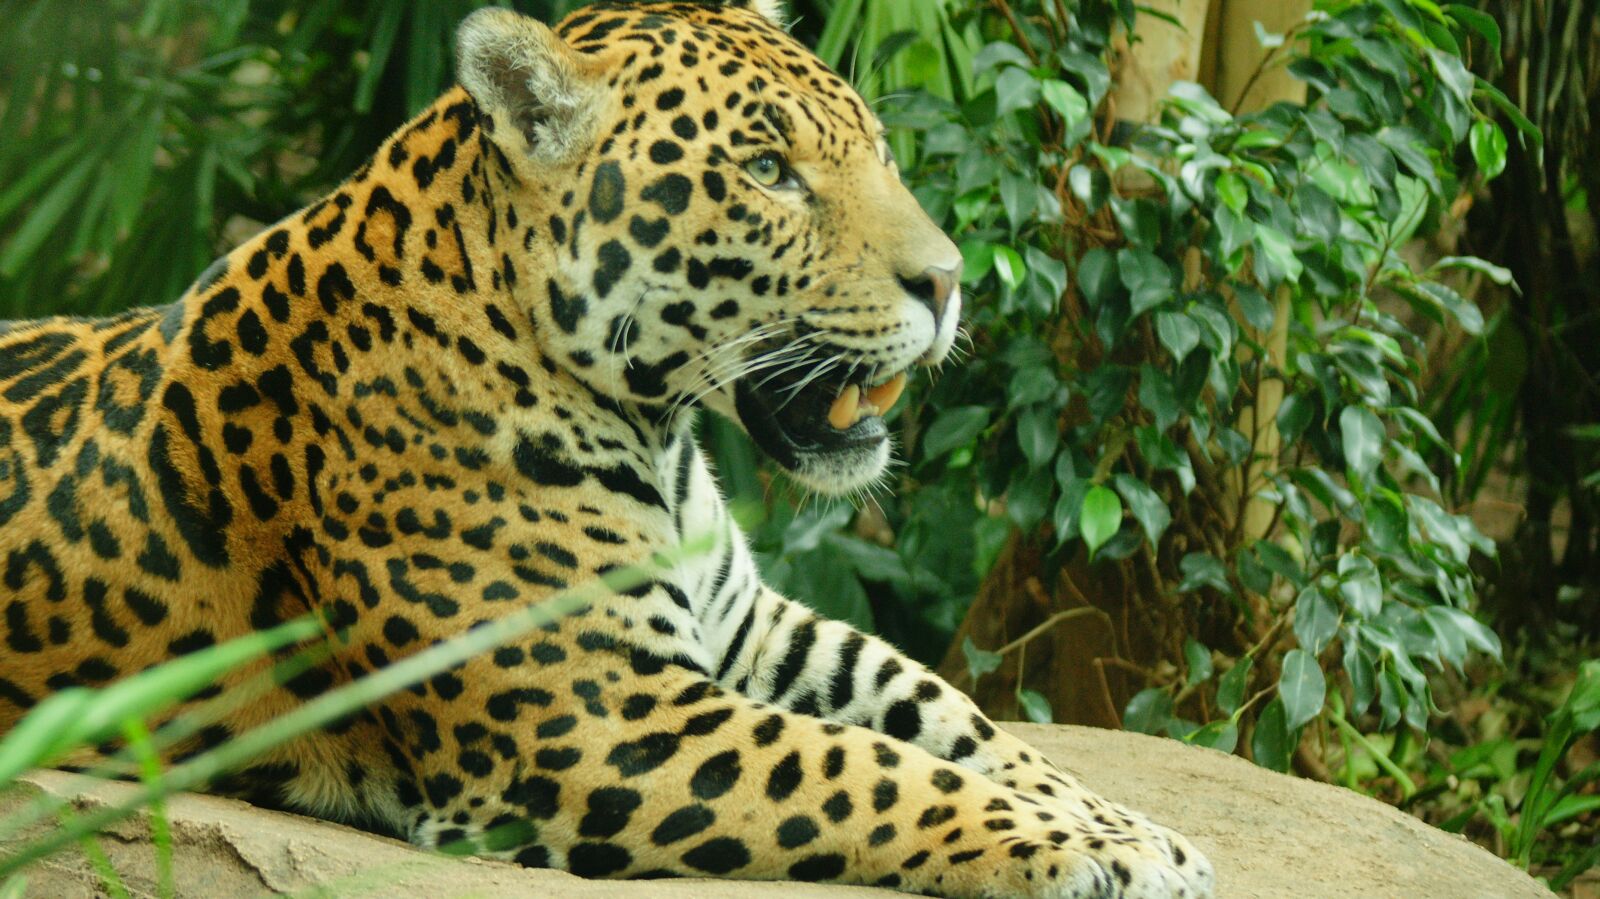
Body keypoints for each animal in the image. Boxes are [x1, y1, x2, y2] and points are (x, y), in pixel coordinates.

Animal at [0, 2, 1215, 896]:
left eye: (876, 150)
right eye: (768, 170)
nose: (950, 281)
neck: (659, 434)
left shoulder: (754, 626)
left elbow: (943, 709)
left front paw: (1130, 824)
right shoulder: (595, 718)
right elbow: (870, 765)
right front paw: (1089, 848)